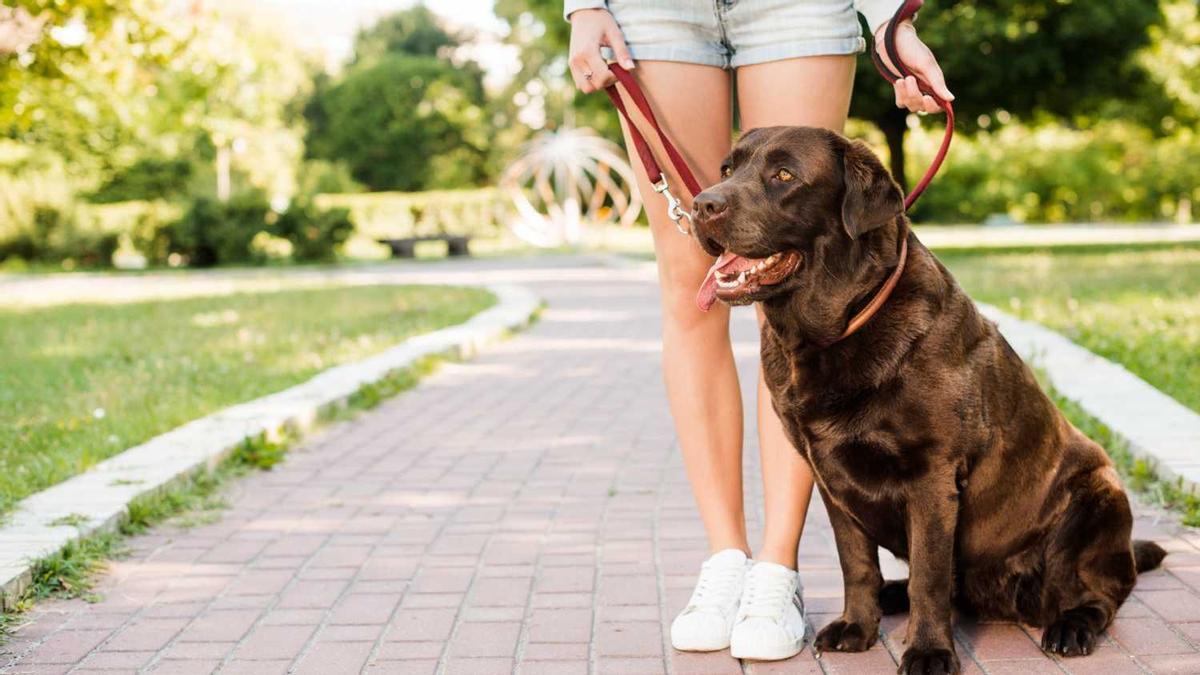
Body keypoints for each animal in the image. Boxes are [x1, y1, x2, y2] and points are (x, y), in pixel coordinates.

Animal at [691, 124, 1166, 667]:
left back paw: (1071, 627)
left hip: (1099, 495)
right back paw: (891, 595)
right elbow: (857, 564)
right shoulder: (828, 477)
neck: (835, 332)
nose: (701, 205)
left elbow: (931, 575)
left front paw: (929, 652)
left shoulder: (932, 476)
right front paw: (858, 626)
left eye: (784, 175)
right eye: (727, 169)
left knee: (1099, 594)